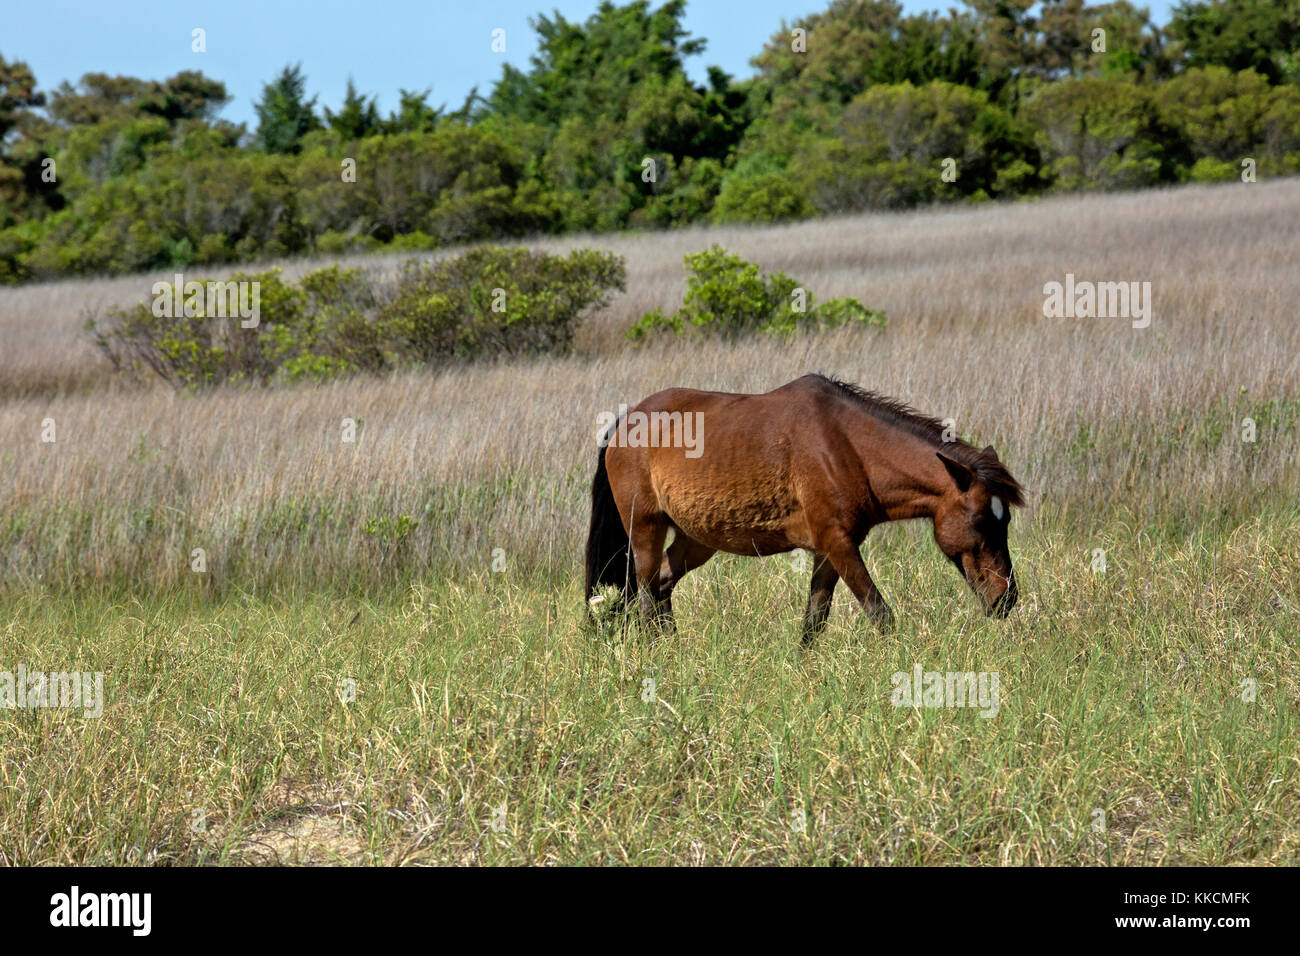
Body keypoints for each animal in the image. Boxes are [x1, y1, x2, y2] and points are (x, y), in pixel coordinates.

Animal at [584, 374, 1024, 642]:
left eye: (1006, 522)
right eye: (980, 521)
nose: (1006, 599)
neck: (846, 445)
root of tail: (625, 421)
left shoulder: (829, 550)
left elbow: (814, 623)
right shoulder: (839, 544)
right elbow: (880, 614)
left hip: (695, 540)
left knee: (659, 586)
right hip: (646, 528)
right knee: (644, 595)